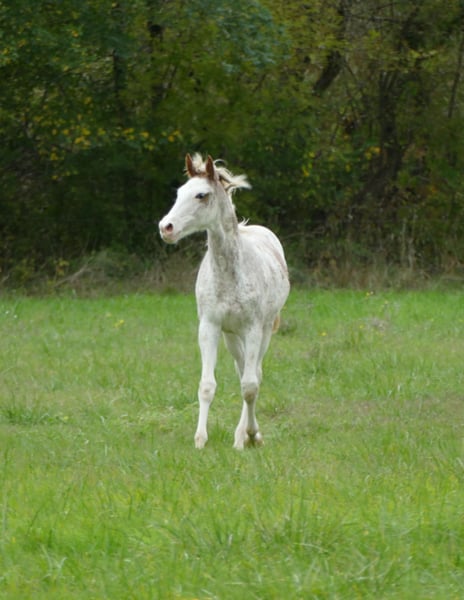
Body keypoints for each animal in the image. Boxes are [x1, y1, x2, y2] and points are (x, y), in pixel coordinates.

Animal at [159, 154, 290, 449]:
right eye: (179, 193)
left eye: (201, 195)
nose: (166, 227)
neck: (230, 272)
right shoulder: (210, 326)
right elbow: (207, 385)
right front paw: (200, 440)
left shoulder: (253, 328)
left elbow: (250, 386)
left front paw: (248, 436)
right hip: (231, 335)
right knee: (242, 369)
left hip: (264, 330)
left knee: (254, 375)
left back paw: (247, 435)